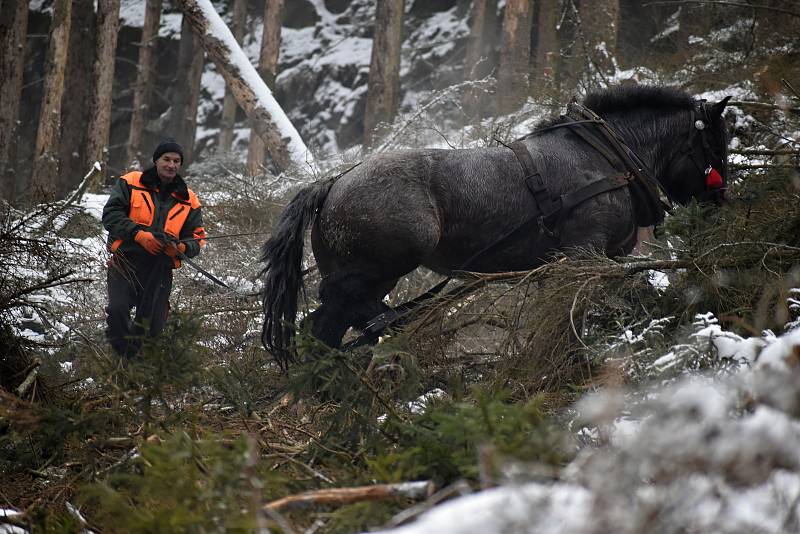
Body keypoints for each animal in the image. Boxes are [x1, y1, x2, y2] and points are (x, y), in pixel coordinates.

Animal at [262, 87, 732, 364]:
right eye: (715, 145)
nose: (721, 205)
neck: (604, 155)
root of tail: (332, 185)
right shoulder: (584, 254)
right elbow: (576, 312)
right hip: (381, 266)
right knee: (338, 320)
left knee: (331, 327)